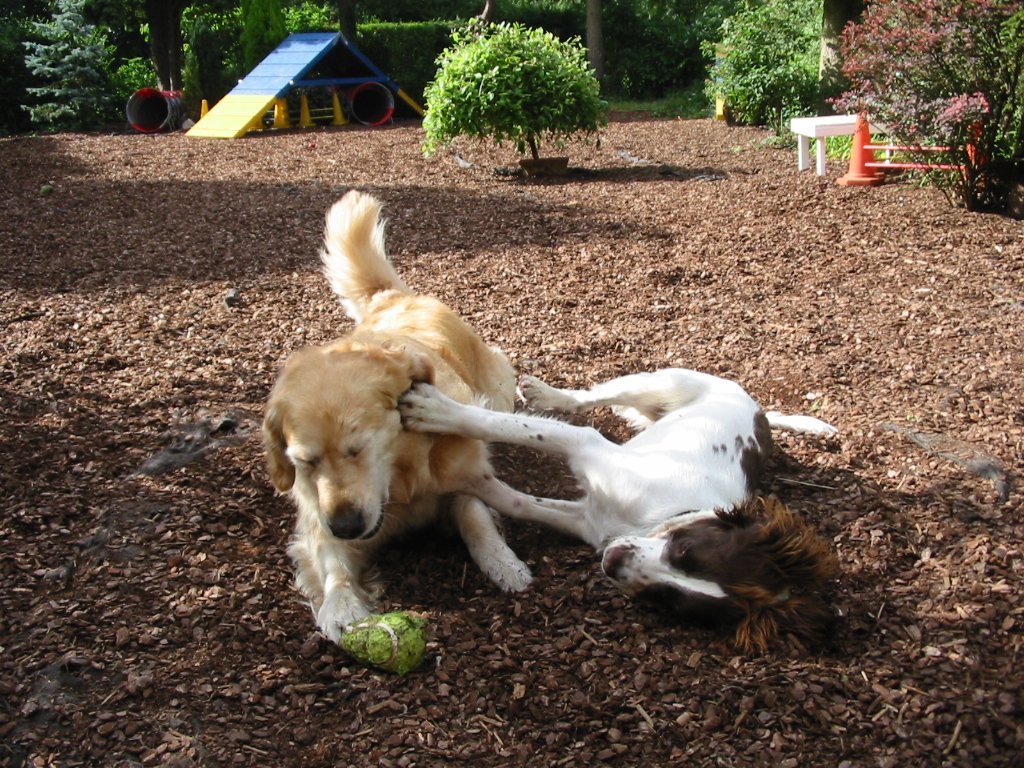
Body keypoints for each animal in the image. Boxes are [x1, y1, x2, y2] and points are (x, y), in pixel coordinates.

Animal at [399, 370, 839, 651]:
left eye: (669, 598)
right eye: (683, 548)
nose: (613, 563)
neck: (656, 517)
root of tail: (758, 407)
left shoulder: (585, 519)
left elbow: (515, 499)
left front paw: (467, 480)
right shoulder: (589, 444)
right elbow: (500, 424)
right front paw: (437, 412)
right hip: (664, 379)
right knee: (596, 397)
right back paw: (547, 394)